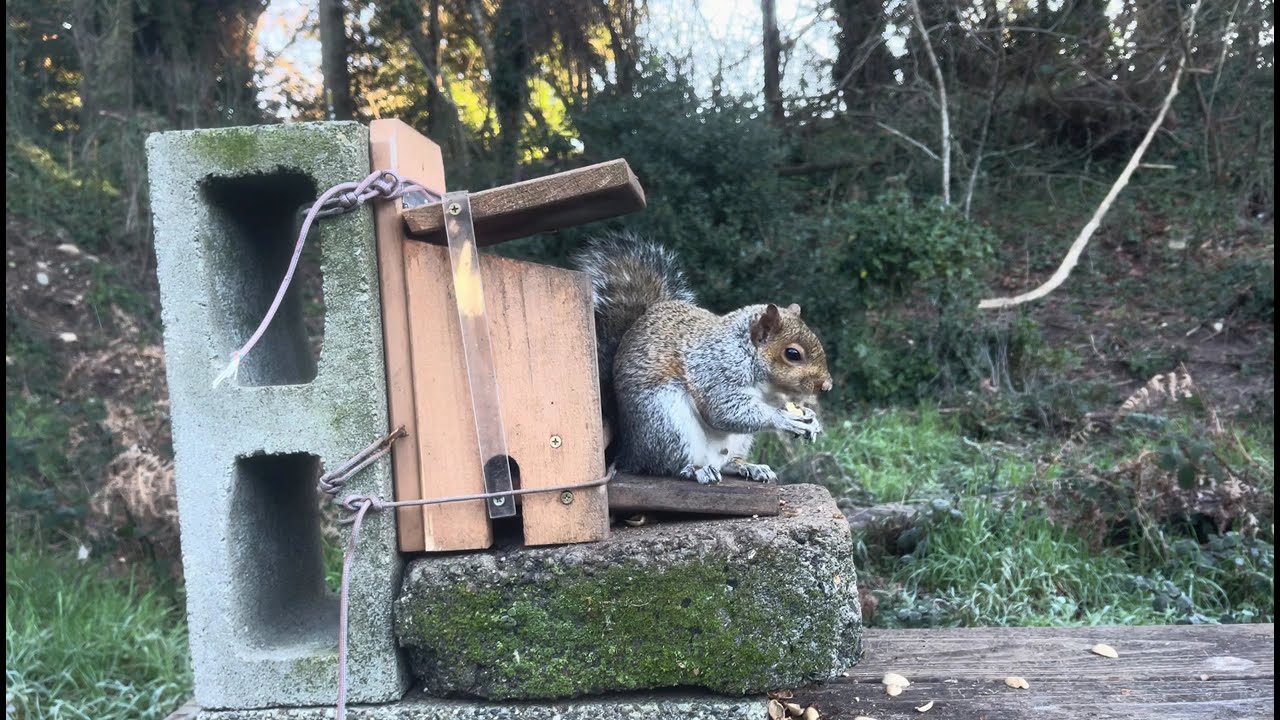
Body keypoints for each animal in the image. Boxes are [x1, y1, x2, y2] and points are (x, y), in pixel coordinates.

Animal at [573, 233, 833, 485]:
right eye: (793, 354)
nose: (826, 385)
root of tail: (629, 452)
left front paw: (810, 419)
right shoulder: (715, 369)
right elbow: (724, 409)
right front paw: (783, 418)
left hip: (738, 440)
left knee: (728, 463)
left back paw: (748, 466)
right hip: (666, 422)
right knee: (669, 465)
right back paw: (697, 470)